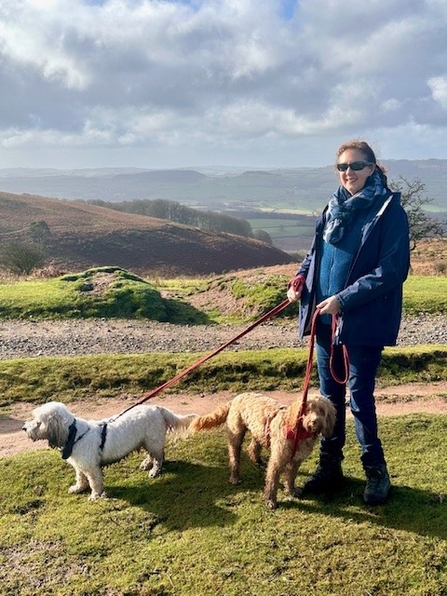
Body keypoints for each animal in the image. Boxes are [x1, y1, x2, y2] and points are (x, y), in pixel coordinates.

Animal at [22, 398, 197, 500]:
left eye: (38, 422)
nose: (24, 428)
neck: (74, 434)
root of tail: (156, 408)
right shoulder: (80, 466)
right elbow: (80, 478)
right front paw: (78, 488)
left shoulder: (92, 468)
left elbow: (94, 482)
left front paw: (95, 495)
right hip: (146, 441)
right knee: (152, 455)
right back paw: (147, 463)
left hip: (153, 441)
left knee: (159, 457)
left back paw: (155, 470)